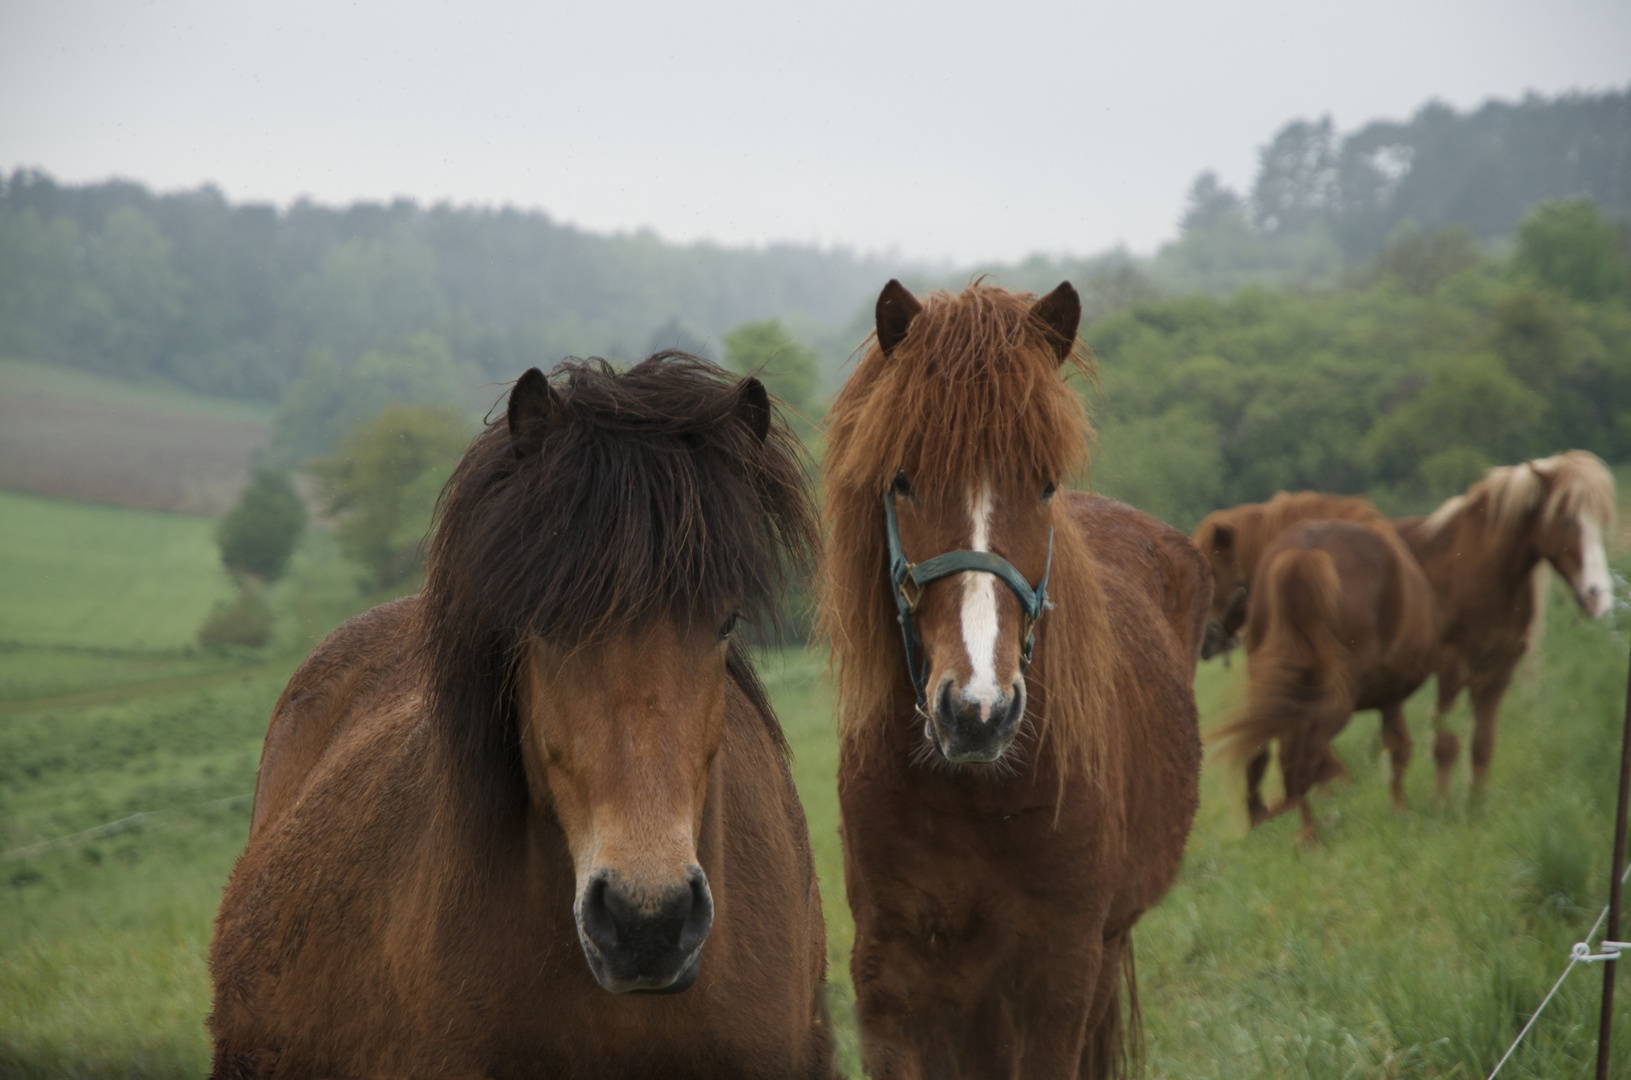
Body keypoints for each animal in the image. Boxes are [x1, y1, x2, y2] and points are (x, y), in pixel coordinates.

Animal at [815, 283, 1213, 1076]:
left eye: (1044, 484)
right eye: (902, 479)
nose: (977, 711)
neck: (975, 799)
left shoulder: (1060, 974)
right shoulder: (889, 978)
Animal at [1213, 518, 1441, 848]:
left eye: (1216, 569)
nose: (1210, 638)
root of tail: (1305, 552)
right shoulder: (1390, 699)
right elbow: (1398, 747)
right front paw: (1400, 810)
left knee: (1279, 751)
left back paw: (1286, 823)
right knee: (1303, 752)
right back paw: (1310, 832)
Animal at [1389, 450, 1617, 802]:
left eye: (1603, 522)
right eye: (1567, 519)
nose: (1599, 597)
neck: (1479, 566)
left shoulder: (1499, 669)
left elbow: (1482, 745)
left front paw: (1476, 807)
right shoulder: (1451, 666)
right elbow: (1445, 744)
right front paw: (1440, 807)